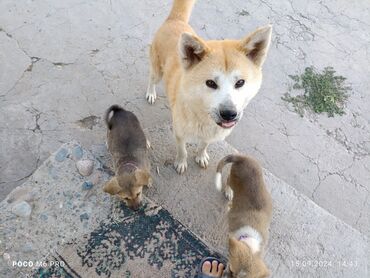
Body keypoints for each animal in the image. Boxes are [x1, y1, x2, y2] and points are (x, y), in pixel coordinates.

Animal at [147, 0, 272, 174]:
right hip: (157, 70)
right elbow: (182, 150)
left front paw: (201, 156)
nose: (229, 114)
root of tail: (176, 20)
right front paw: (181, 162)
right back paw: (151, 93)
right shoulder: (179, 133)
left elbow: (204, 145)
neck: (203, 117)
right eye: (211, 83)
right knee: (151, 79)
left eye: (240, 82)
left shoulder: (210, 135)